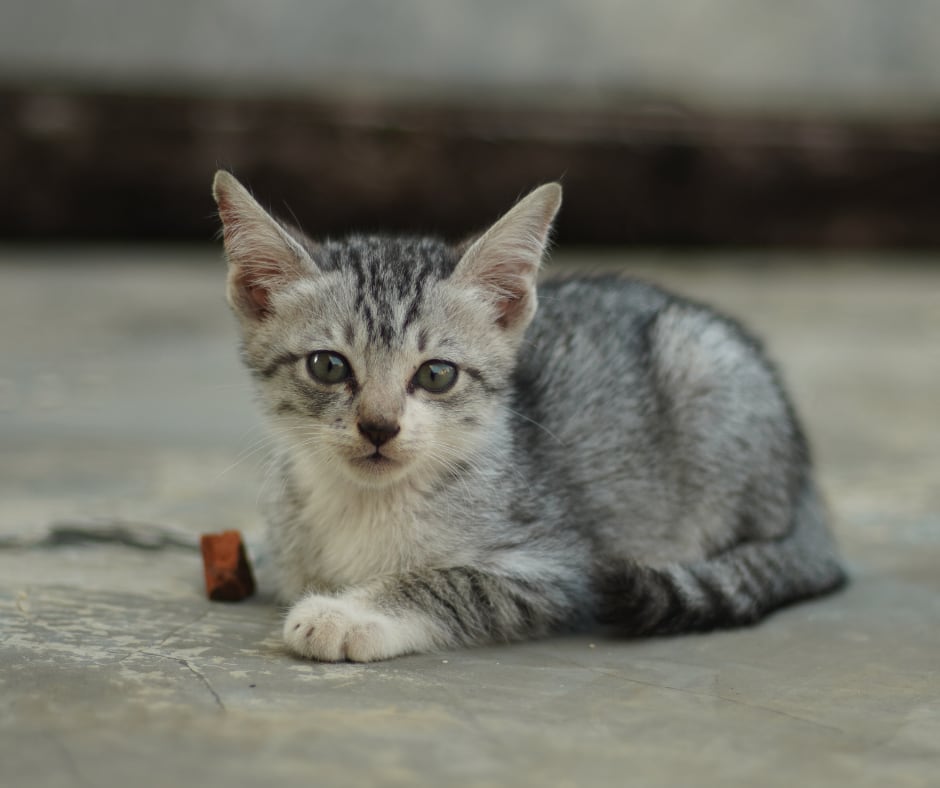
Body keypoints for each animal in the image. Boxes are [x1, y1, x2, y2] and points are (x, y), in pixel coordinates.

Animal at [211, 169, 844, 660]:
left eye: (436, 375)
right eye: (327, 366)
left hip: (703, 365)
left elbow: (453, 582)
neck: (370, 505)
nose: (379, 426)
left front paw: (349, 614)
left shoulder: (558, 568)